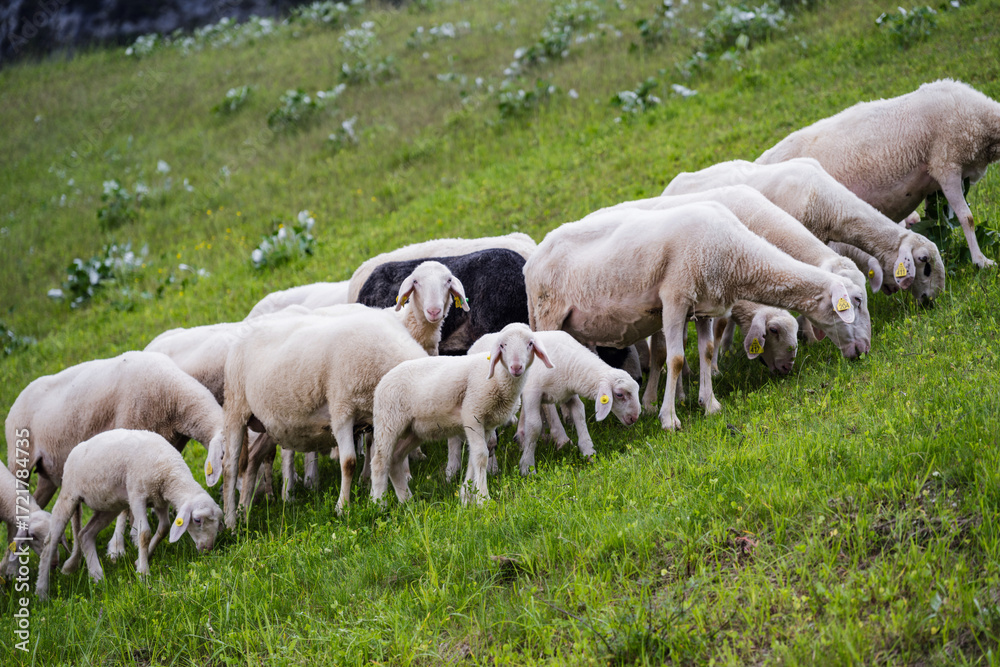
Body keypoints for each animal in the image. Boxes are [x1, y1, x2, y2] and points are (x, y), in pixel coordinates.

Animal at [35, 429, 222, 601]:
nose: (208, 549)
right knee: (50, 541)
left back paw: (97, 577)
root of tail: (77, 449)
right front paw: (143, 573)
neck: (169, 473)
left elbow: (164, 528)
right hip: (69, 495)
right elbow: (144, 533)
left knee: (85, 534)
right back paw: (42, 592)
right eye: (197, 520)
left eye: (218, 524)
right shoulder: (137, 495)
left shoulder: (159, 500)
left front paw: (141, 560)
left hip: (109, 506)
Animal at [222, 308, 428, 527]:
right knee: (230, 467)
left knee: (253, 457)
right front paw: (342, 508)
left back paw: (244, 513)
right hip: (236, 406)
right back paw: (231, 522)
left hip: (271, 424)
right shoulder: (341, 410)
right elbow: (348, 463)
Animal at [370, 323, 554, 505]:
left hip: (414, 430)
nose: (516, 367)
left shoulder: (487, 425)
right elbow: (481, 455)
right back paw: (379, 504)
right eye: (502, 345)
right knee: (380, 461)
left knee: (395, 459)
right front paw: (483, 499)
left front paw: (467, 497)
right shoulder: (472, 414)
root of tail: (382, 382)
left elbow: (474, 457)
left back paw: (407, 501)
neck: (498, 379)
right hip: (389, 422)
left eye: (530, 344)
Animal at [462, 329, 640, 476]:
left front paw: (588, 451)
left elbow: (580, 413)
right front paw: (527, 467)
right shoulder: (532, 392)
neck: (568, 361)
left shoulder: (568, 394)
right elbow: (534, 426)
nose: (635, 418)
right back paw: (493, 467)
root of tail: (476, 343)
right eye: (619, 394)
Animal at [524, 202, 863, 431]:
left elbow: (707, 350)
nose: (862, 352)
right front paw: (669, 418)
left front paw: (709, 404)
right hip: (548, 314)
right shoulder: (675, 297)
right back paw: (558, 431)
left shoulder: (703, 307)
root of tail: (532, 261)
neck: (735, 251)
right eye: (856, 301)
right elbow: (675, 359)